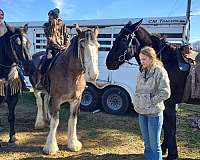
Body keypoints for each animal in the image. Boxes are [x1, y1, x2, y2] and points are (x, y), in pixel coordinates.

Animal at [29, 24, 99, 154]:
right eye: (82, 45)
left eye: (98, 46)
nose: (93, 74)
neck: (71, 74)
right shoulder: (57, 99)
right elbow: (55, 121)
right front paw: (50, 147)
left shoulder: (76, 100)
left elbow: (73, 120)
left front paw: (73, 144)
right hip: (36, 88)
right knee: (40, 103)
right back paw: (40, 122)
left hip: (48, 91)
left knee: (45, 100)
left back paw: (47, 117)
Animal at [105, 19, 193, 159]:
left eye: (124, 39)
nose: (109, 62)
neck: (167, 62)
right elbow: (166, 127)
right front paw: (164, 148)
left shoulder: (169, 103)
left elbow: (170, 128)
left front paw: (172, 155)